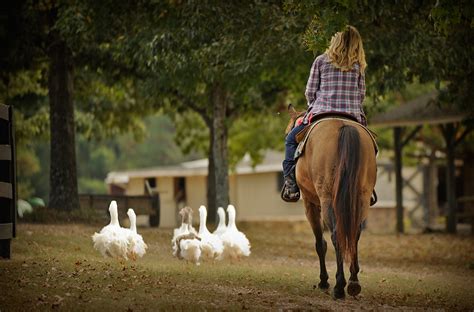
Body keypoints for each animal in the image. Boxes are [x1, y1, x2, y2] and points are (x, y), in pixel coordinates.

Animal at [286, 105, 378, 300]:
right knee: (354, 234)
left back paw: (339, 286)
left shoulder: (311, 204)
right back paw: (353, 282)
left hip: (327, 199)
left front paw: (323, 281)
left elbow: (320, 244)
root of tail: (344, 126)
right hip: (361, 198)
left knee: (336, 236)